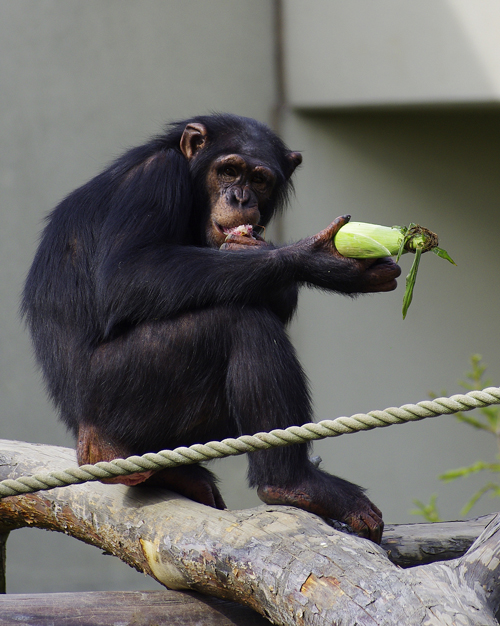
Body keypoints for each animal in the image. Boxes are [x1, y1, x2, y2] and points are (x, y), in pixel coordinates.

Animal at [21, 113, 400, 540]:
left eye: (259, 179)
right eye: (229, 171)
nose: (241, 198)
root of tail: (87, 437)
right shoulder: (154, 178)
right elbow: (130, 272)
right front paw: (317, 258)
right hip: (117, 391)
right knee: (241, 323)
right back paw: (294, 484)